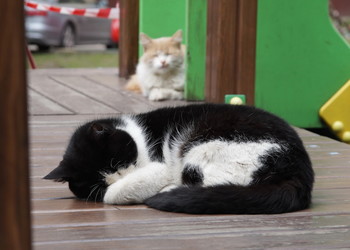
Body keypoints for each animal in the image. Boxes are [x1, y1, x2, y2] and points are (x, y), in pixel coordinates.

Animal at [44, 103, 314, 215]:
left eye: (117, 163)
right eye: (98, 182)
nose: (122, 175)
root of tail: (299, 173)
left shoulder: (161, 166)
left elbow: (115, 194)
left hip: (204, 148)